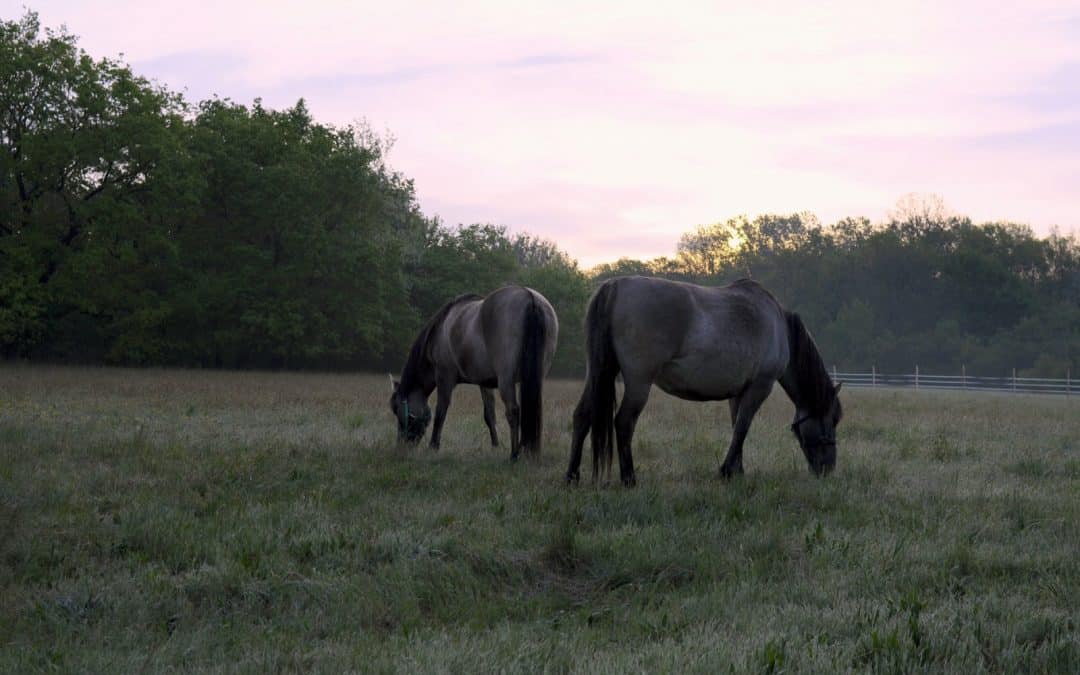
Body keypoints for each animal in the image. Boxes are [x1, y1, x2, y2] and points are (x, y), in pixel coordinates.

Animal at [390, 285, 559, 459]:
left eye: (397, 411)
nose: (402, 447)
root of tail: (529, 297)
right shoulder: (485, 382)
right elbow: (489, 415)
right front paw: (495, 445)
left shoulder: (444, 376)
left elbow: (441, 411)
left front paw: (433, 446)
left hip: (506, 380)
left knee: (513, 412)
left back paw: (514, 455)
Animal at [566, 276, 842, 486]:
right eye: (832, 420)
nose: (828, 469)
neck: (778, 325)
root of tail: (616, 286)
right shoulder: (760, 387)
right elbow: (743, 427)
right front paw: (727, 471)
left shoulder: (739, 391)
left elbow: (737, 427)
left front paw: (737, 471)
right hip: (638, 382)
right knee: (624, 422)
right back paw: (629, 479)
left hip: (598, 373)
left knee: (582, 416)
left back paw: (572, 476)